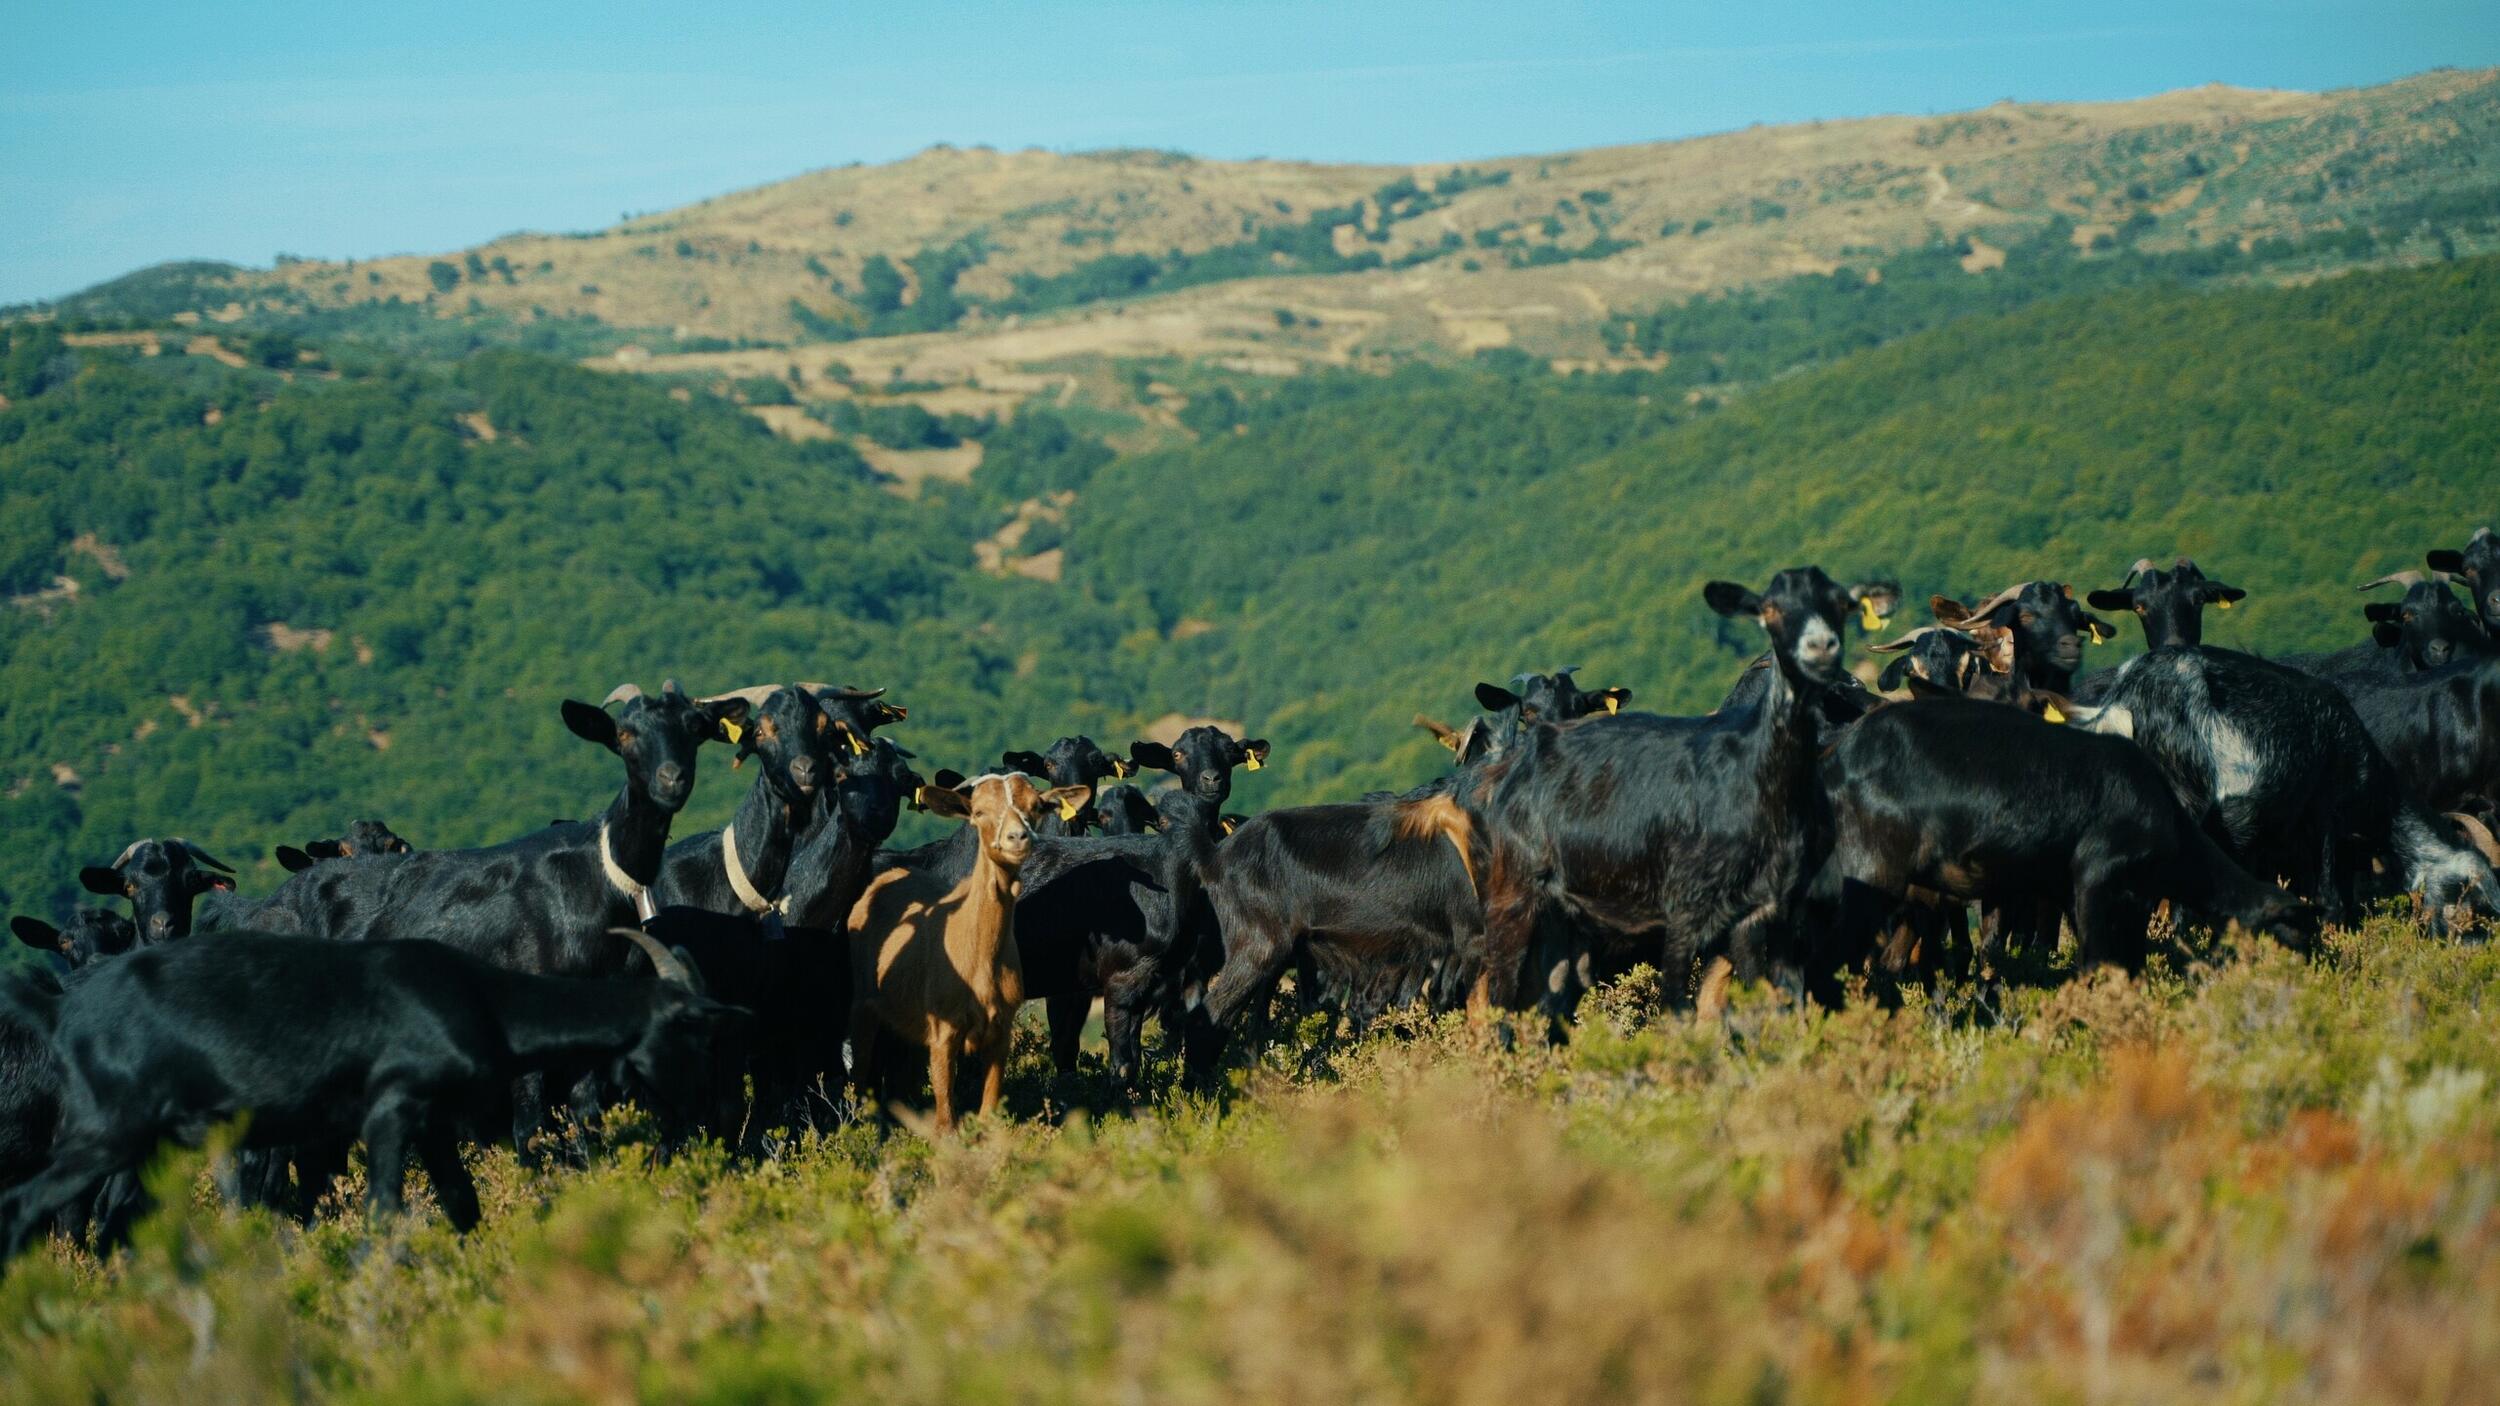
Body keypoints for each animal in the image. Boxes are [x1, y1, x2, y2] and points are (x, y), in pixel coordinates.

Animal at [0, 925, 745, 1250]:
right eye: (693, 1033)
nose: (700, 1115)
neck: (482, 999)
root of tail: (62, 1012)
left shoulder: (437, 1123)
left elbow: (463, 1204)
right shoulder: (392, 1108)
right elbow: (385, 1210)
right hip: (106, 1132)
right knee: (25, 1203)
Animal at [850, 765, 1085, 1125]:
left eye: (1035, 806)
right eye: (979, 812)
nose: (1017, 837)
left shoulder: (1001, 1031)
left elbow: (988, 1111)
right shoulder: (943, 1031)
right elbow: (946, 1118)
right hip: (862, 1000)